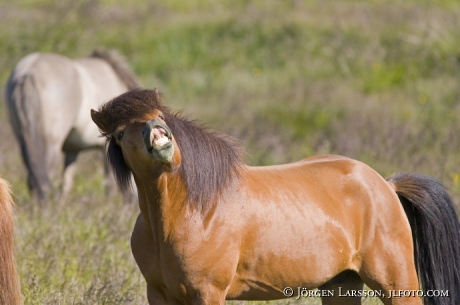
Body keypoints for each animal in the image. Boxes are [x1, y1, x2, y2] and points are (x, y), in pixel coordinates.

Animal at [5, 50, 139, 203]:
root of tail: (28, 72)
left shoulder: (72, 150)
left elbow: (66, 184)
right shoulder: (105, 147)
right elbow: (110, 184)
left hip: (25, 142)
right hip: (51, 146)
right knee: (42, 182)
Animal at [91, 88, 460, 304]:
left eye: (160, 116)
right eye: (119, 133)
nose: (159, 136)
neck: (189, 213)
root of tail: (385, 185)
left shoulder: (208, 294)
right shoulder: (160, 295)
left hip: (396, 283)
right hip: (340, 285)